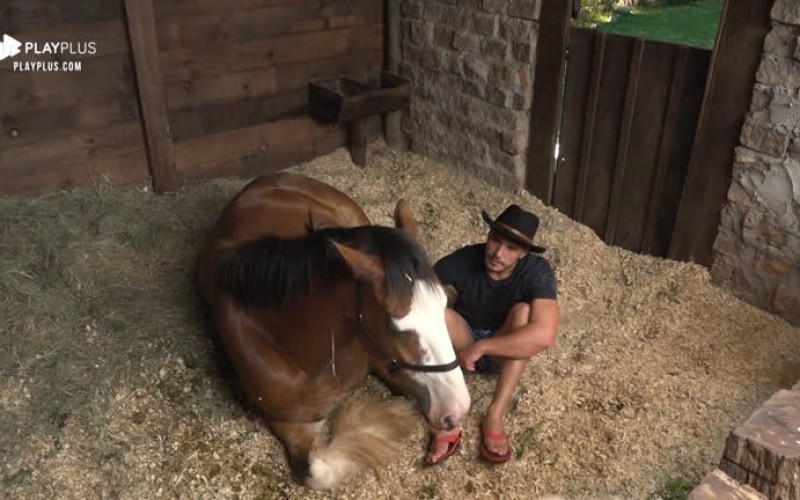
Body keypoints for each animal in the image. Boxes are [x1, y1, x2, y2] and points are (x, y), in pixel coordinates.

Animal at [197, 172, 471, 490]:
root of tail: (269, 178)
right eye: (397, 328)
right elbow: (317, 471)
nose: (458, 408)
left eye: (439, 309)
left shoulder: (382, 358)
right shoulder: (285, 420)